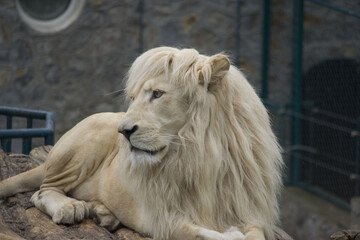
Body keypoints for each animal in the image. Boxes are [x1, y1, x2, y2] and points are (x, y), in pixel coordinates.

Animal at [0, 47, 282, 240]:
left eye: (157, 94)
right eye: (134, 98)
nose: (123, 132)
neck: (203, 155)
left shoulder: (246, 209)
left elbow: (255, 234)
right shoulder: (162, 218)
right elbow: (201, 234)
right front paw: (231, 234)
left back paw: (104, 214)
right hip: (94, 132)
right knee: (42, 191)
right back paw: (70, 207)